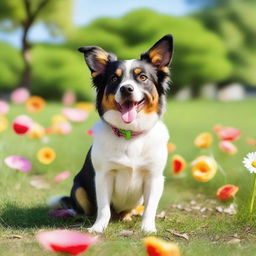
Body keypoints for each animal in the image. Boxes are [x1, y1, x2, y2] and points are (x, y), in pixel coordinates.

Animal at [49, 34, 174, 234]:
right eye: (115, 79)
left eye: (143, 77)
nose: (126, 89)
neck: (130, 134)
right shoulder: (103, 175)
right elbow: (103, 208)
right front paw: (98, 227)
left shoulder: (154, 177)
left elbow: (150, 208)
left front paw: (148, 228)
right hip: (78, 187)